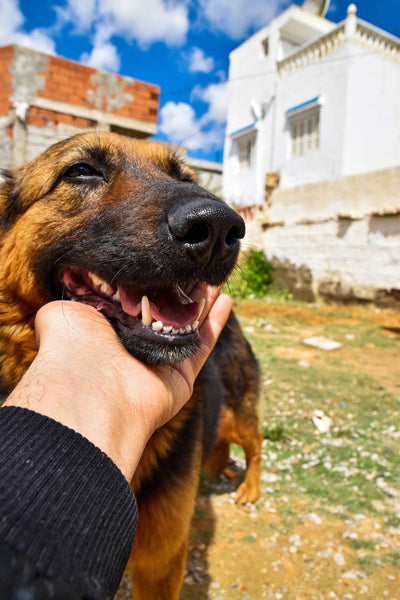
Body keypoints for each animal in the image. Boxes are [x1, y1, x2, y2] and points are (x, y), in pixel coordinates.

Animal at [0, 132, 262, 600]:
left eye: (184, 177)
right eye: (81, 171)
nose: (219, 227)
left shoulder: (162, 562)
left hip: (237, 413)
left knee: (256, 444)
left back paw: (249, 486)